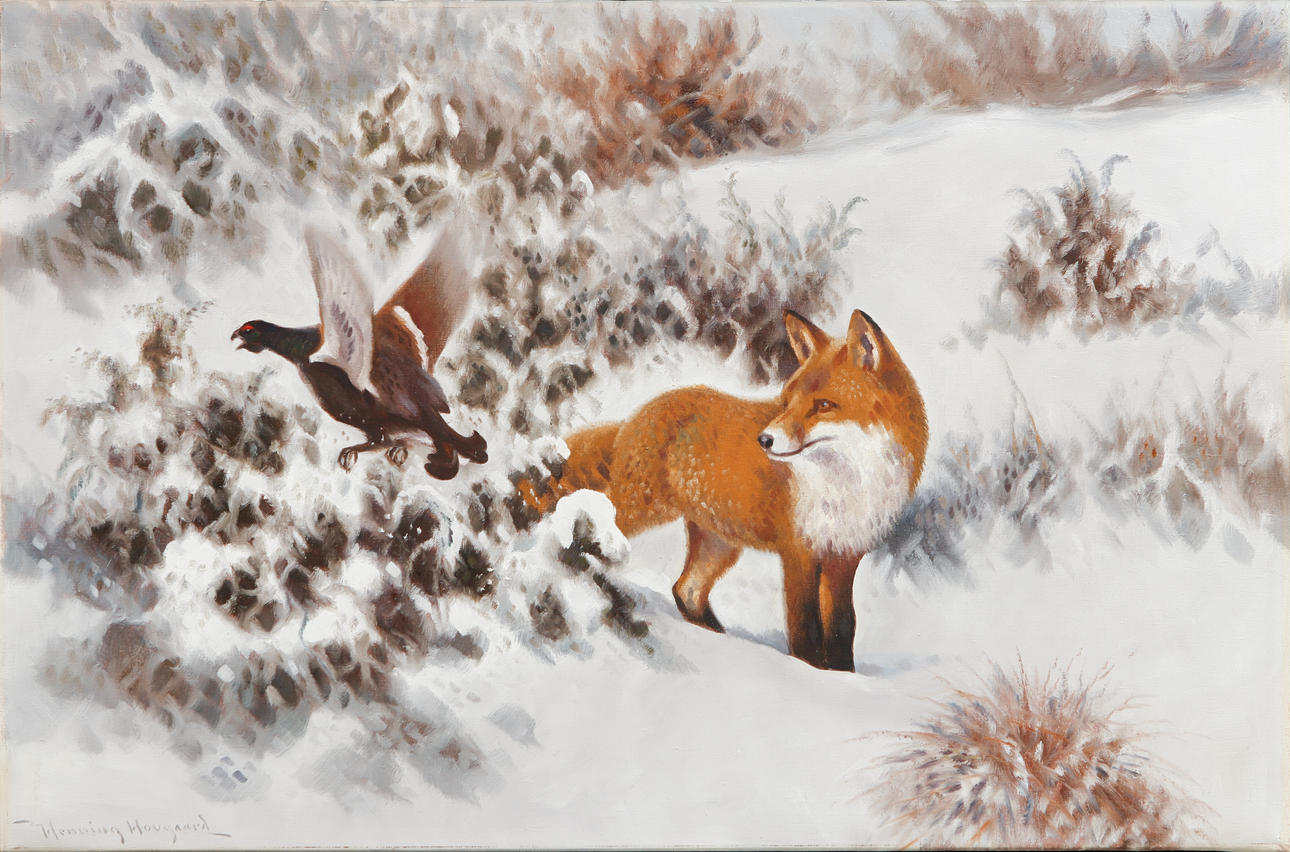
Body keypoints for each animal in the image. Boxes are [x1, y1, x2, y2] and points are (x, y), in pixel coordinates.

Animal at [551, 308, 928, 671]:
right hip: (638, 509)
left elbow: (842, 626)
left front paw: (841, 674)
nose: (765, 440)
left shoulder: (844, 555)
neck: (848, 483)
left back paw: (718, 637)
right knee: (581, 518)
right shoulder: (798, 551)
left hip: (720, 544)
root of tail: (639, 414)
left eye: (823, 405)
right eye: (787, 401)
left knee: (686, 590)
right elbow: (803, 626)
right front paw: (808, 669)